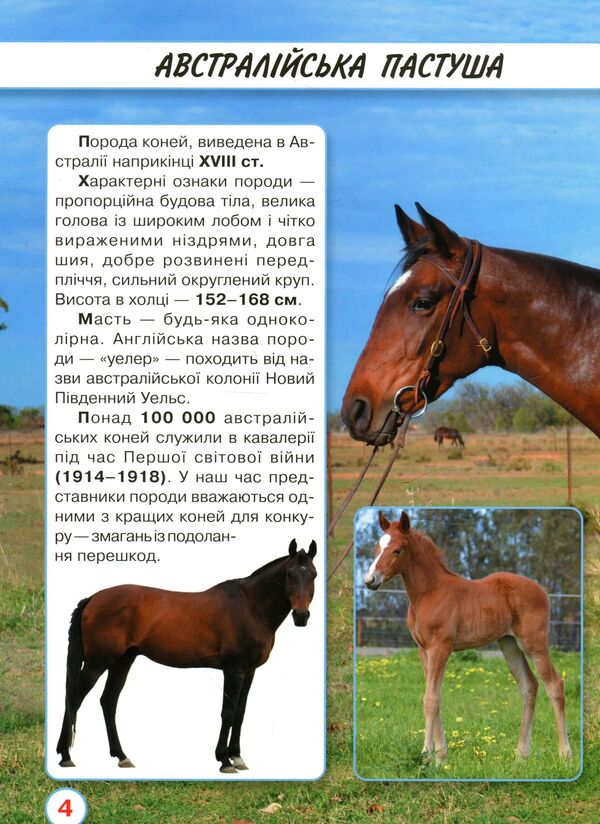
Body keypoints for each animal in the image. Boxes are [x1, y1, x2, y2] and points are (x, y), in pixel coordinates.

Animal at [56, 539, 317, 774]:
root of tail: (92, 599)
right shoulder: (233, 670)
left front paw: (238, 757)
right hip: (96, 664)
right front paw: (224, 760)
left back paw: (121, 756)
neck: (250, 607)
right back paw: (65, 755)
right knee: (75, 699)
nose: (301, 616)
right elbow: (228, 712)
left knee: (108, 702)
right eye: (290, 574)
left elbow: (240, 713)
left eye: (313, 574)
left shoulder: (249, 671)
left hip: (122, 662)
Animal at [364, 511, 571, 765]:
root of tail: (542, 591)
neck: (429, 592)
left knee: (554, 685)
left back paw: (565, 754)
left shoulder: (441, 647)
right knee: (529, 686)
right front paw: (440, 757)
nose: (370, 580)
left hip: (534, 644)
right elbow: (436, 698)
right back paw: (521, 755)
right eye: (377, 546)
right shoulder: (424, 650)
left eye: (397, 550)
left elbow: (430, 699)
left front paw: (426, 755)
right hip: (509, 644)